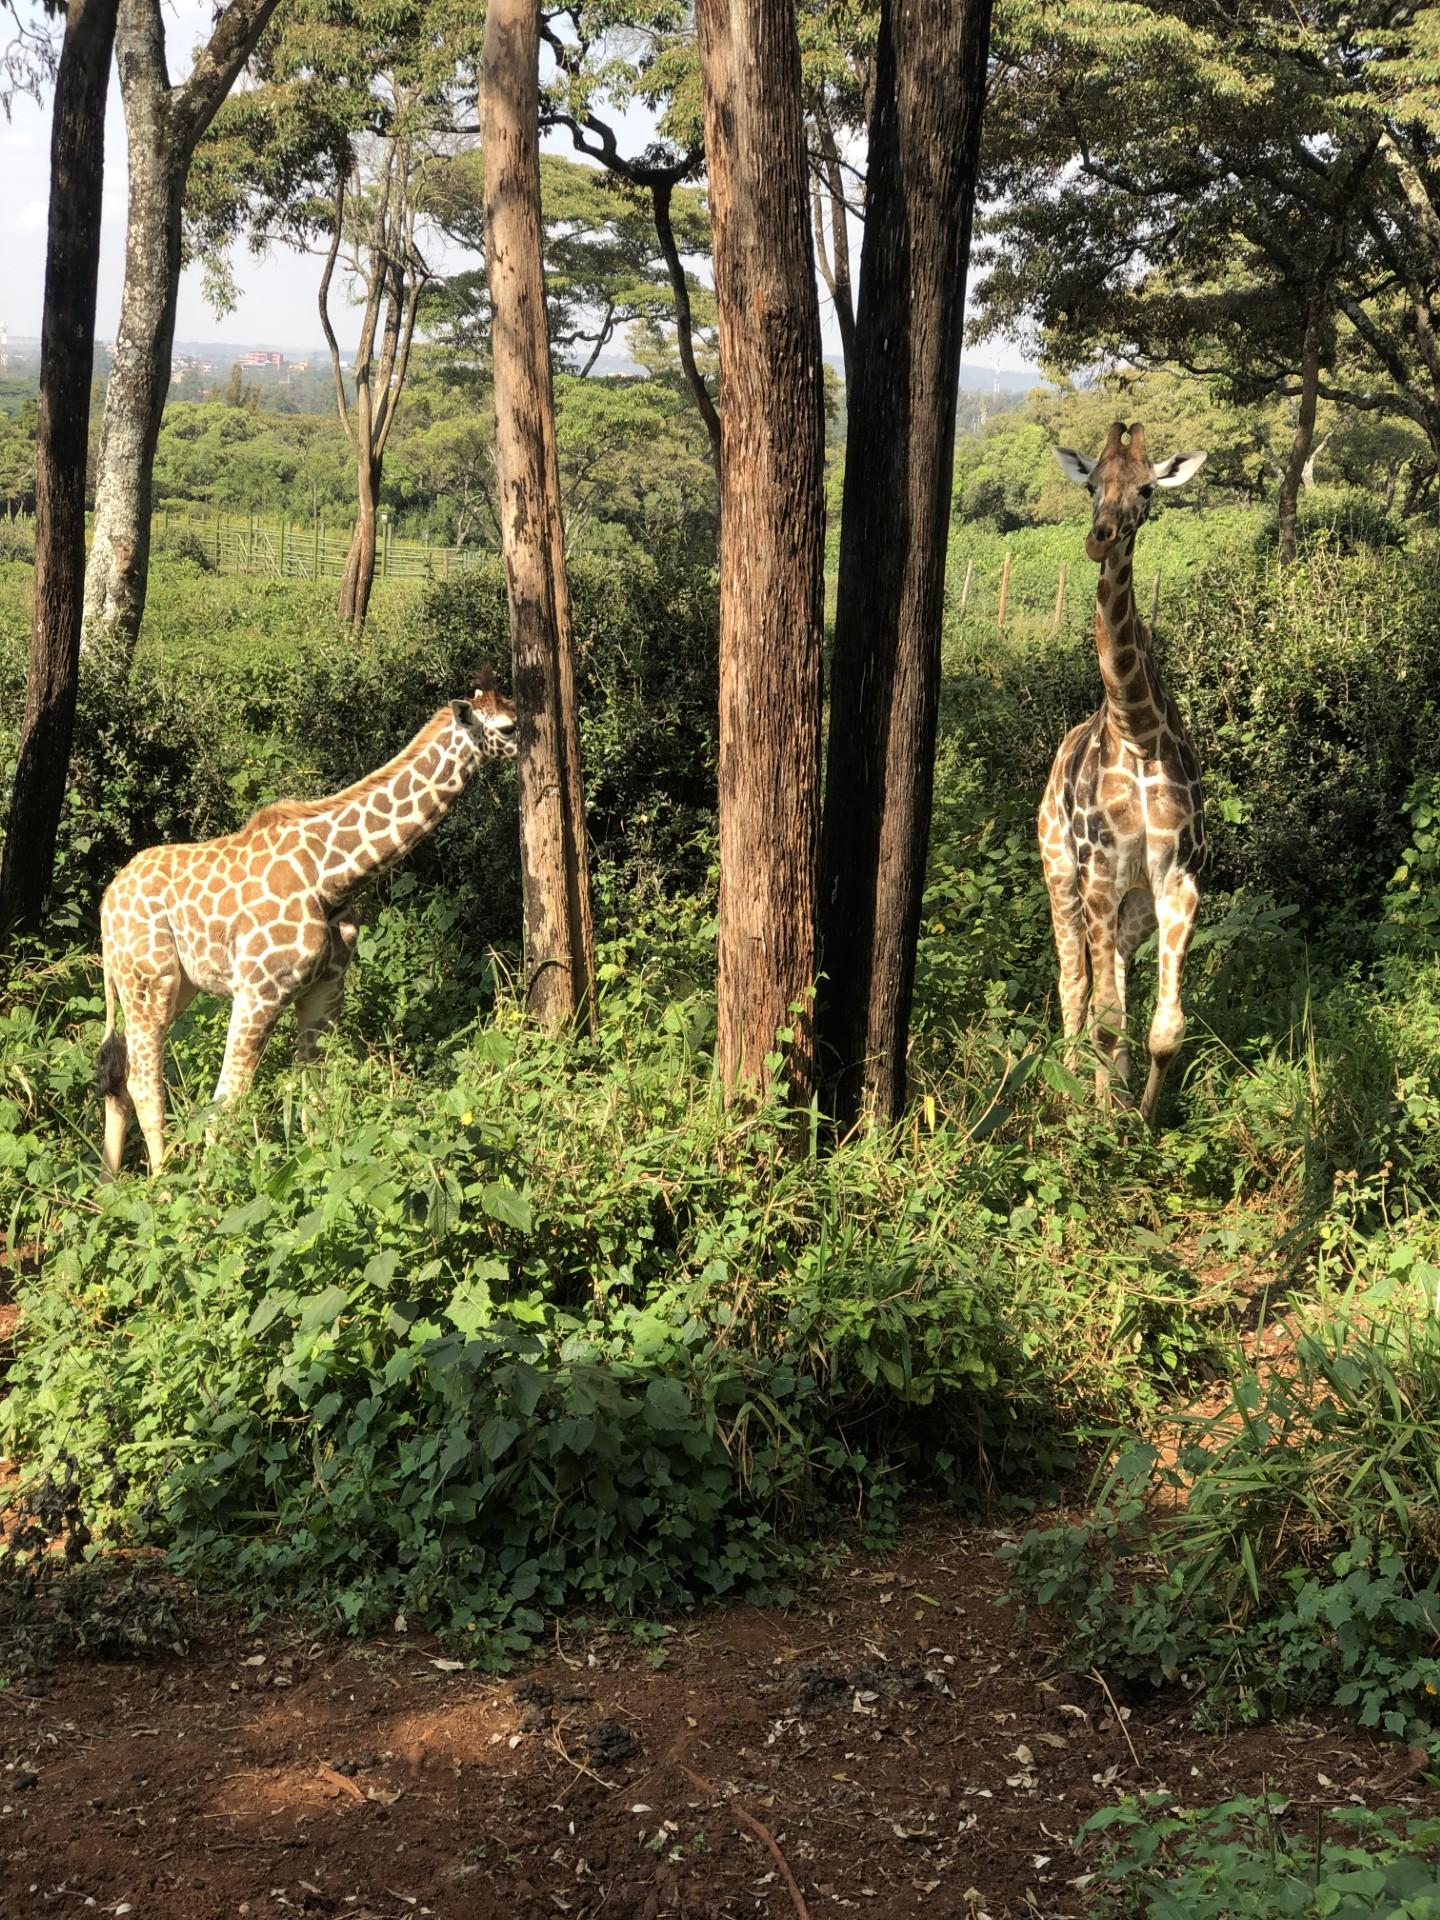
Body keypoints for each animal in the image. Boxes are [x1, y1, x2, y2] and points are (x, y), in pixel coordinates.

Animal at [97, 670, 518, 1175]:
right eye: (509, 727)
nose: (530, 749)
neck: (333, 876)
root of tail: (106, 903)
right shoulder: (258, 991)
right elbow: (228, 1100)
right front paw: (214, 1183)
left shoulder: (325, 989)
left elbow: (313, 1094)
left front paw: (316, 1165)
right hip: (148, 980)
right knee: (144, 1080)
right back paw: (162, 1182)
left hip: (173, 986)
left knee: (119, 1072)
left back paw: (111, 1181)